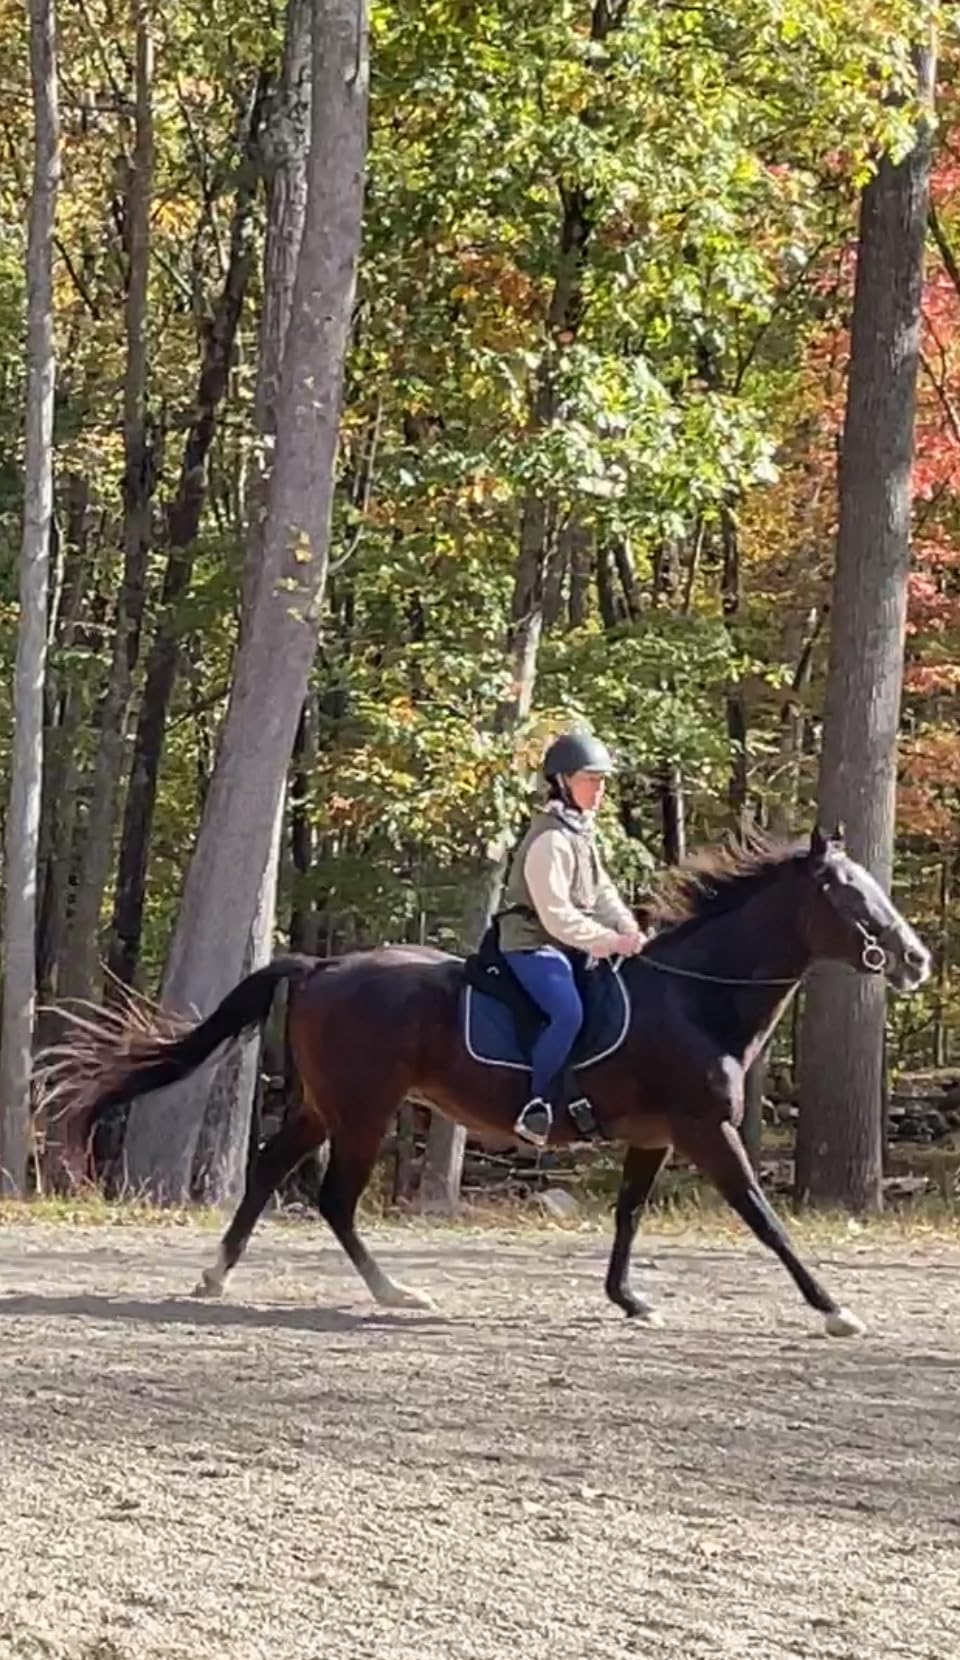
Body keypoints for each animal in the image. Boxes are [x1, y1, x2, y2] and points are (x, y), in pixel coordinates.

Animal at [41, 826, 930, 1336]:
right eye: (846, 893)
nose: (917, 959)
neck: (694, 997)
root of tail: (324, 965)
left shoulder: (657, 1137)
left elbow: (629, 1217)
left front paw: (629, 1300)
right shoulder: (705, 1133)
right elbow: (764, 1220)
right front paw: (834, 1309)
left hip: (326, 1106)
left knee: (269, 1170)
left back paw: (218, 1274)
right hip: (364, 1109)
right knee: (333, 1198)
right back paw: (396, 1294)